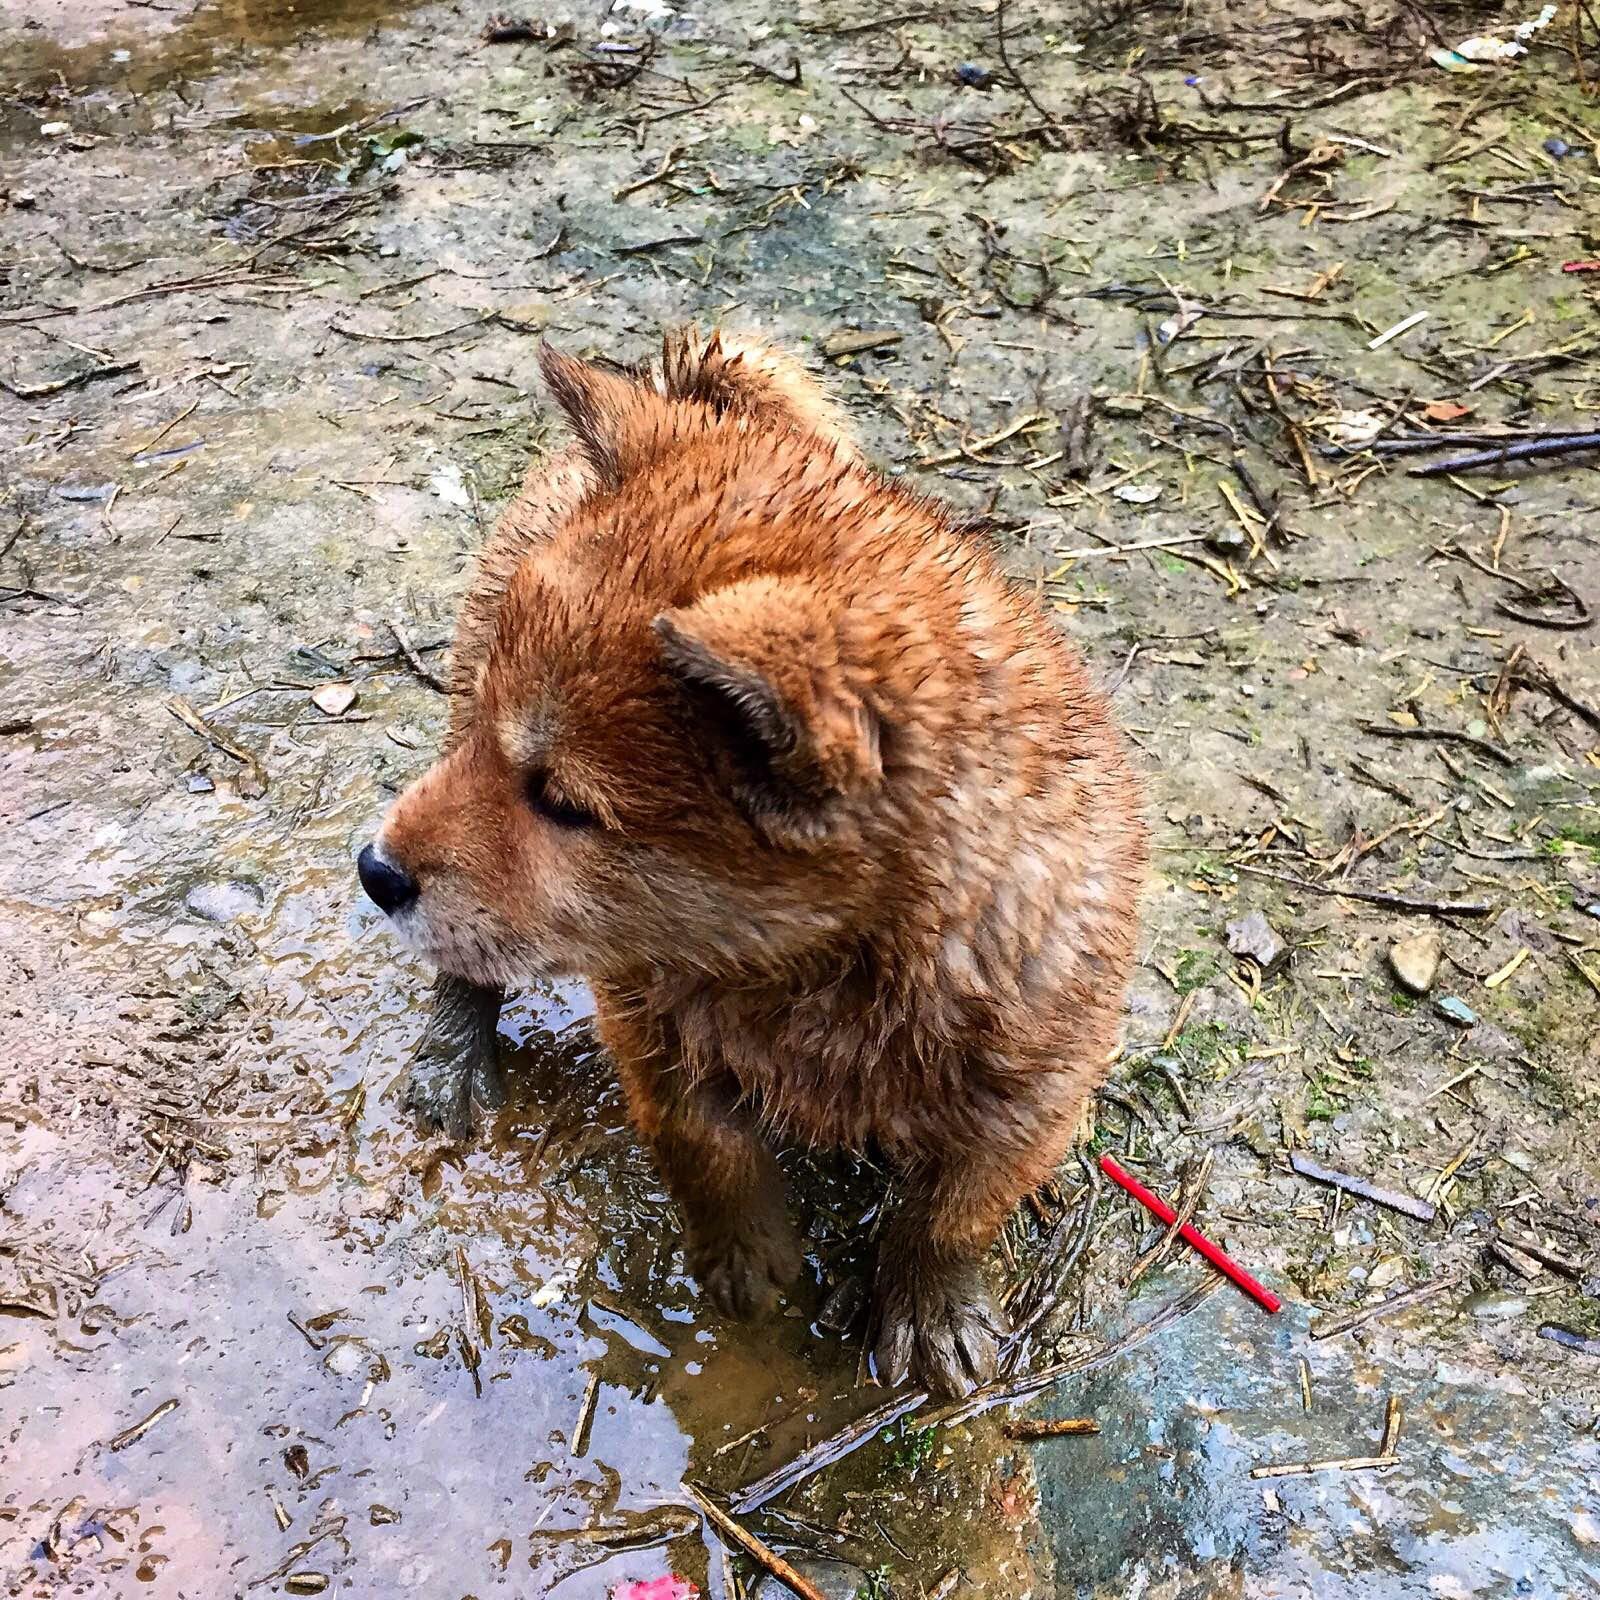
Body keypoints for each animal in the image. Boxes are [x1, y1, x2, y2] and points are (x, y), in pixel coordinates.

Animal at [356, 328, 1145, 1401]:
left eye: (563, 804)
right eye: (492, 740)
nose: (374, 870)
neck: (817, 967)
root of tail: (693, 385)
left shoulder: (1035, 1084)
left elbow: (952, 1214)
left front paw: (931, 1308)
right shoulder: (648, 1015)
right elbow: (708, 1151)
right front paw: (747, 1258)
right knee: (467, 969)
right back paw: (452, 1054)